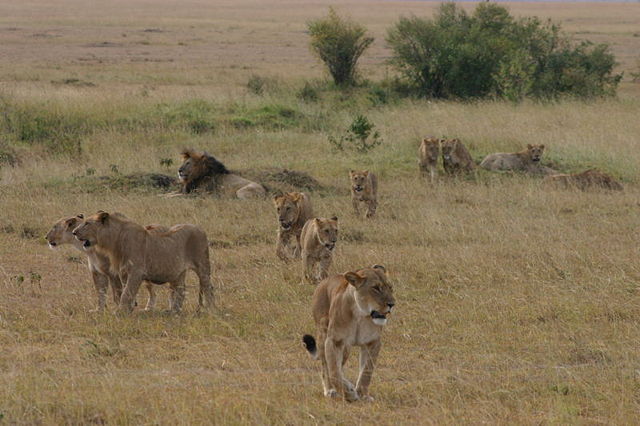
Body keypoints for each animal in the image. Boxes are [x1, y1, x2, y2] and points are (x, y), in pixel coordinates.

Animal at [72, 211, 214, 313]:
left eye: (87, 223)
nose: (74, 232)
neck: (115, 240)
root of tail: (200, 228)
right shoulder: (124, 272)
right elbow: (127, 292)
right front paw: (128, 310)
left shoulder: (136, 271)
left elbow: (126, 293)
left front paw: (120, 312)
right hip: (179, 272)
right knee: (181, 290)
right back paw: (174, 311)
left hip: (203, 265)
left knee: (208, 287)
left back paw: (210, 309)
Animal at [302, 265, 395, 402]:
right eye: (376, 288)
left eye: (390, 287)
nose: (392, 304)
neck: (360, 315)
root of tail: (323, 281)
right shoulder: (333, 341)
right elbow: (333, 372)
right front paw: (349, 394)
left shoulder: (373, 342)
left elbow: (367, 371)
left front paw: (363, 394)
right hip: (324, 335)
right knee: (326, 367)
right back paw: (330, 390)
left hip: (346, 348)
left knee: (340, 366)